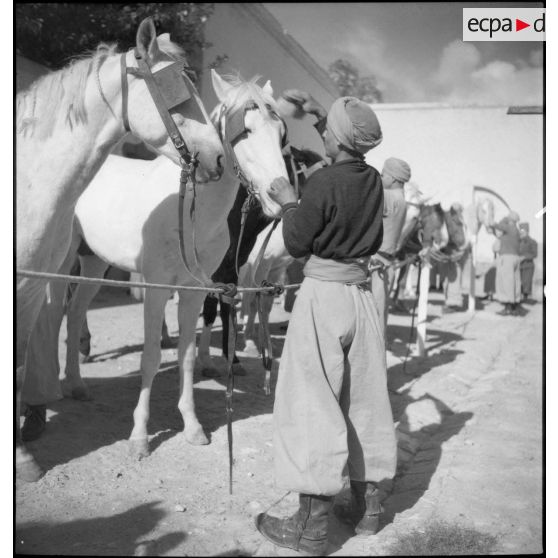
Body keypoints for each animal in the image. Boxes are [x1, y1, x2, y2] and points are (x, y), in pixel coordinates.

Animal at [49, 72, 288, 462]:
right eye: (245, 129)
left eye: (281, 133)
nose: (282, 198)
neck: (189, 212)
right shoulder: (157, 287)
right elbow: (150, 358)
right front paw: (139, 437)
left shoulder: (194, 291)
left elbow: (187, 356)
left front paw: (192, 427)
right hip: (65, 259)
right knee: (56, 314)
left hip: (95, 263)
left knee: (75, 311)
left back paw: (76, 384)